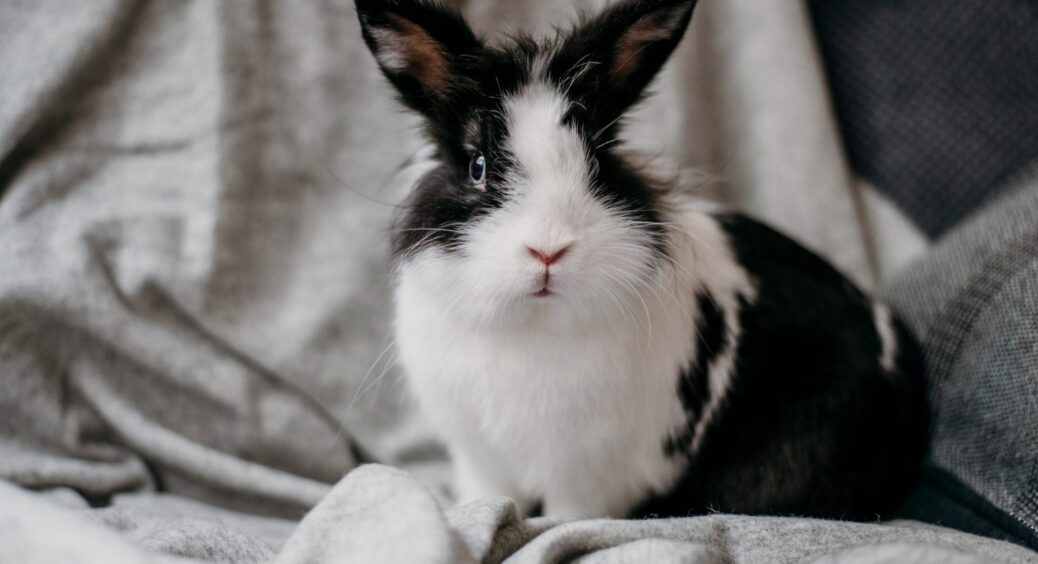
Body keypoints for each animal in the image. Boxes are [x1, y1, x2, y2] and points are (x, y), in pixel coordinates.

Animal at [355, 0, 928, 520]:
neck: (533, 324)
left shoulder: (590, 475)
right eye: (477, 166)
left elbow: (568, 519)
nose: (548, 250)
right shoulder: (480, 457)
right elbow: (487, 497)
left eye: (598, 164)